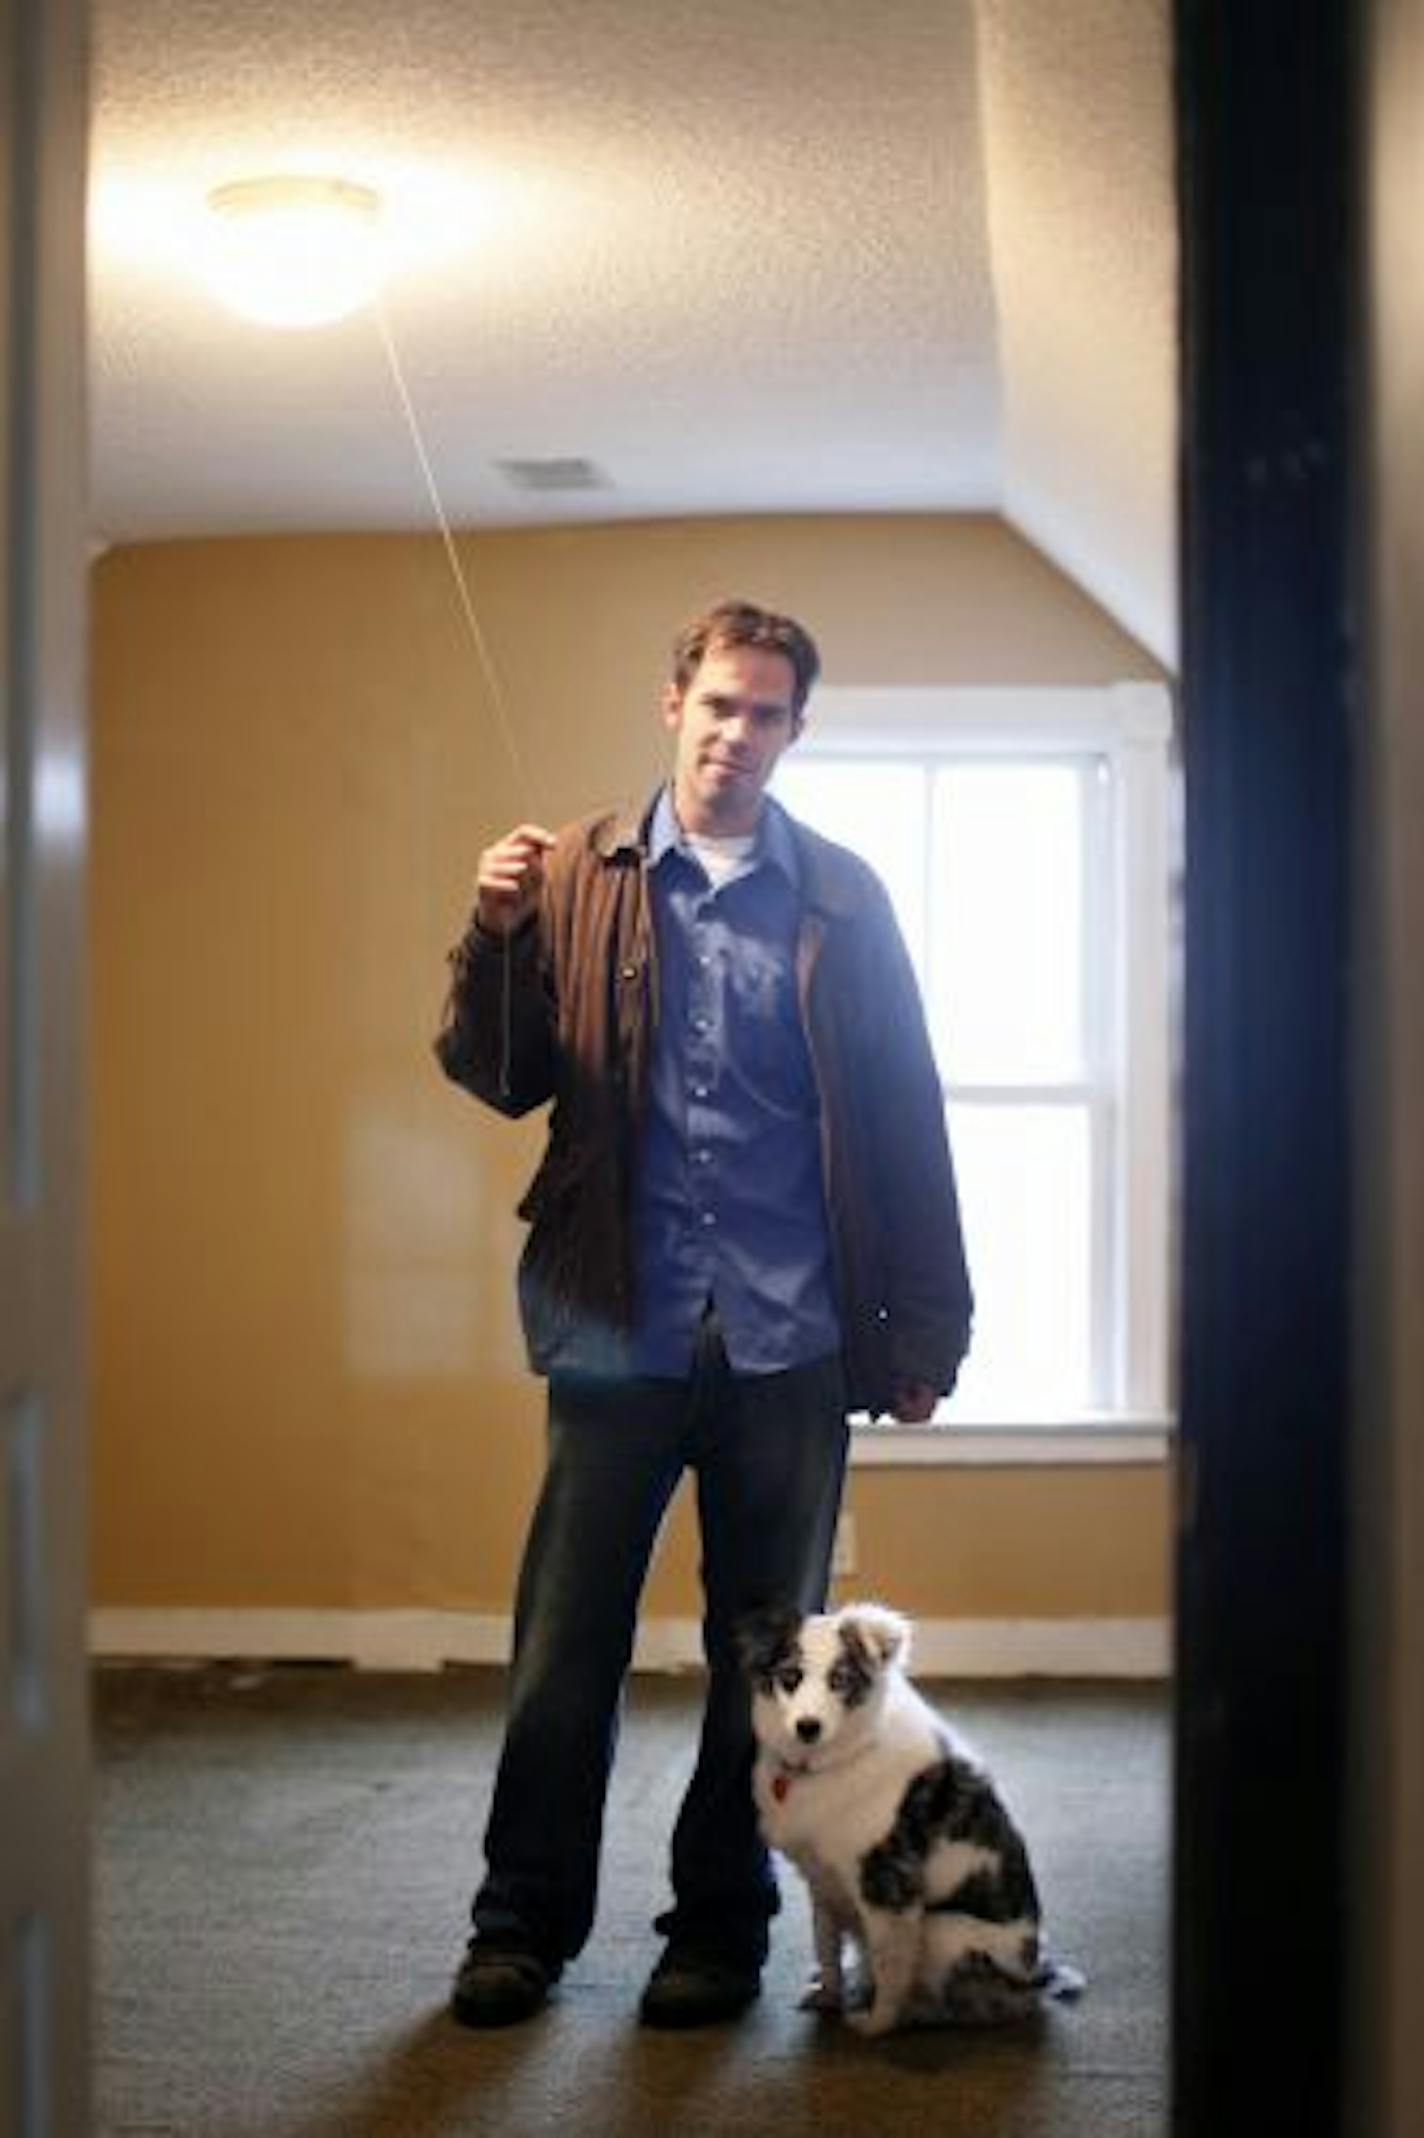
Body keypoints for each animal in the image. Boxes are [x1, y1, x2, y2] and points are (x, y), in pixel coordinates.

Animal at [735, 1607, 1081, 2035]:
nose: (807, 1727)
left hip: (945, 1932)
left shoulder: (889, 1890)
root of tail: (1034, 1981)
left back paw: (914, 2010)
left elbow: (891, 1967)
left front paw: (876, 2023)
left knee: (959, 2005)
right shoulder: (822, 1878)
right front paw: (829, 1994)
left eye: (840, 1680)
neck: (846, 1753)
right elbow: (826, 1943)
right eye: (790, 1677)